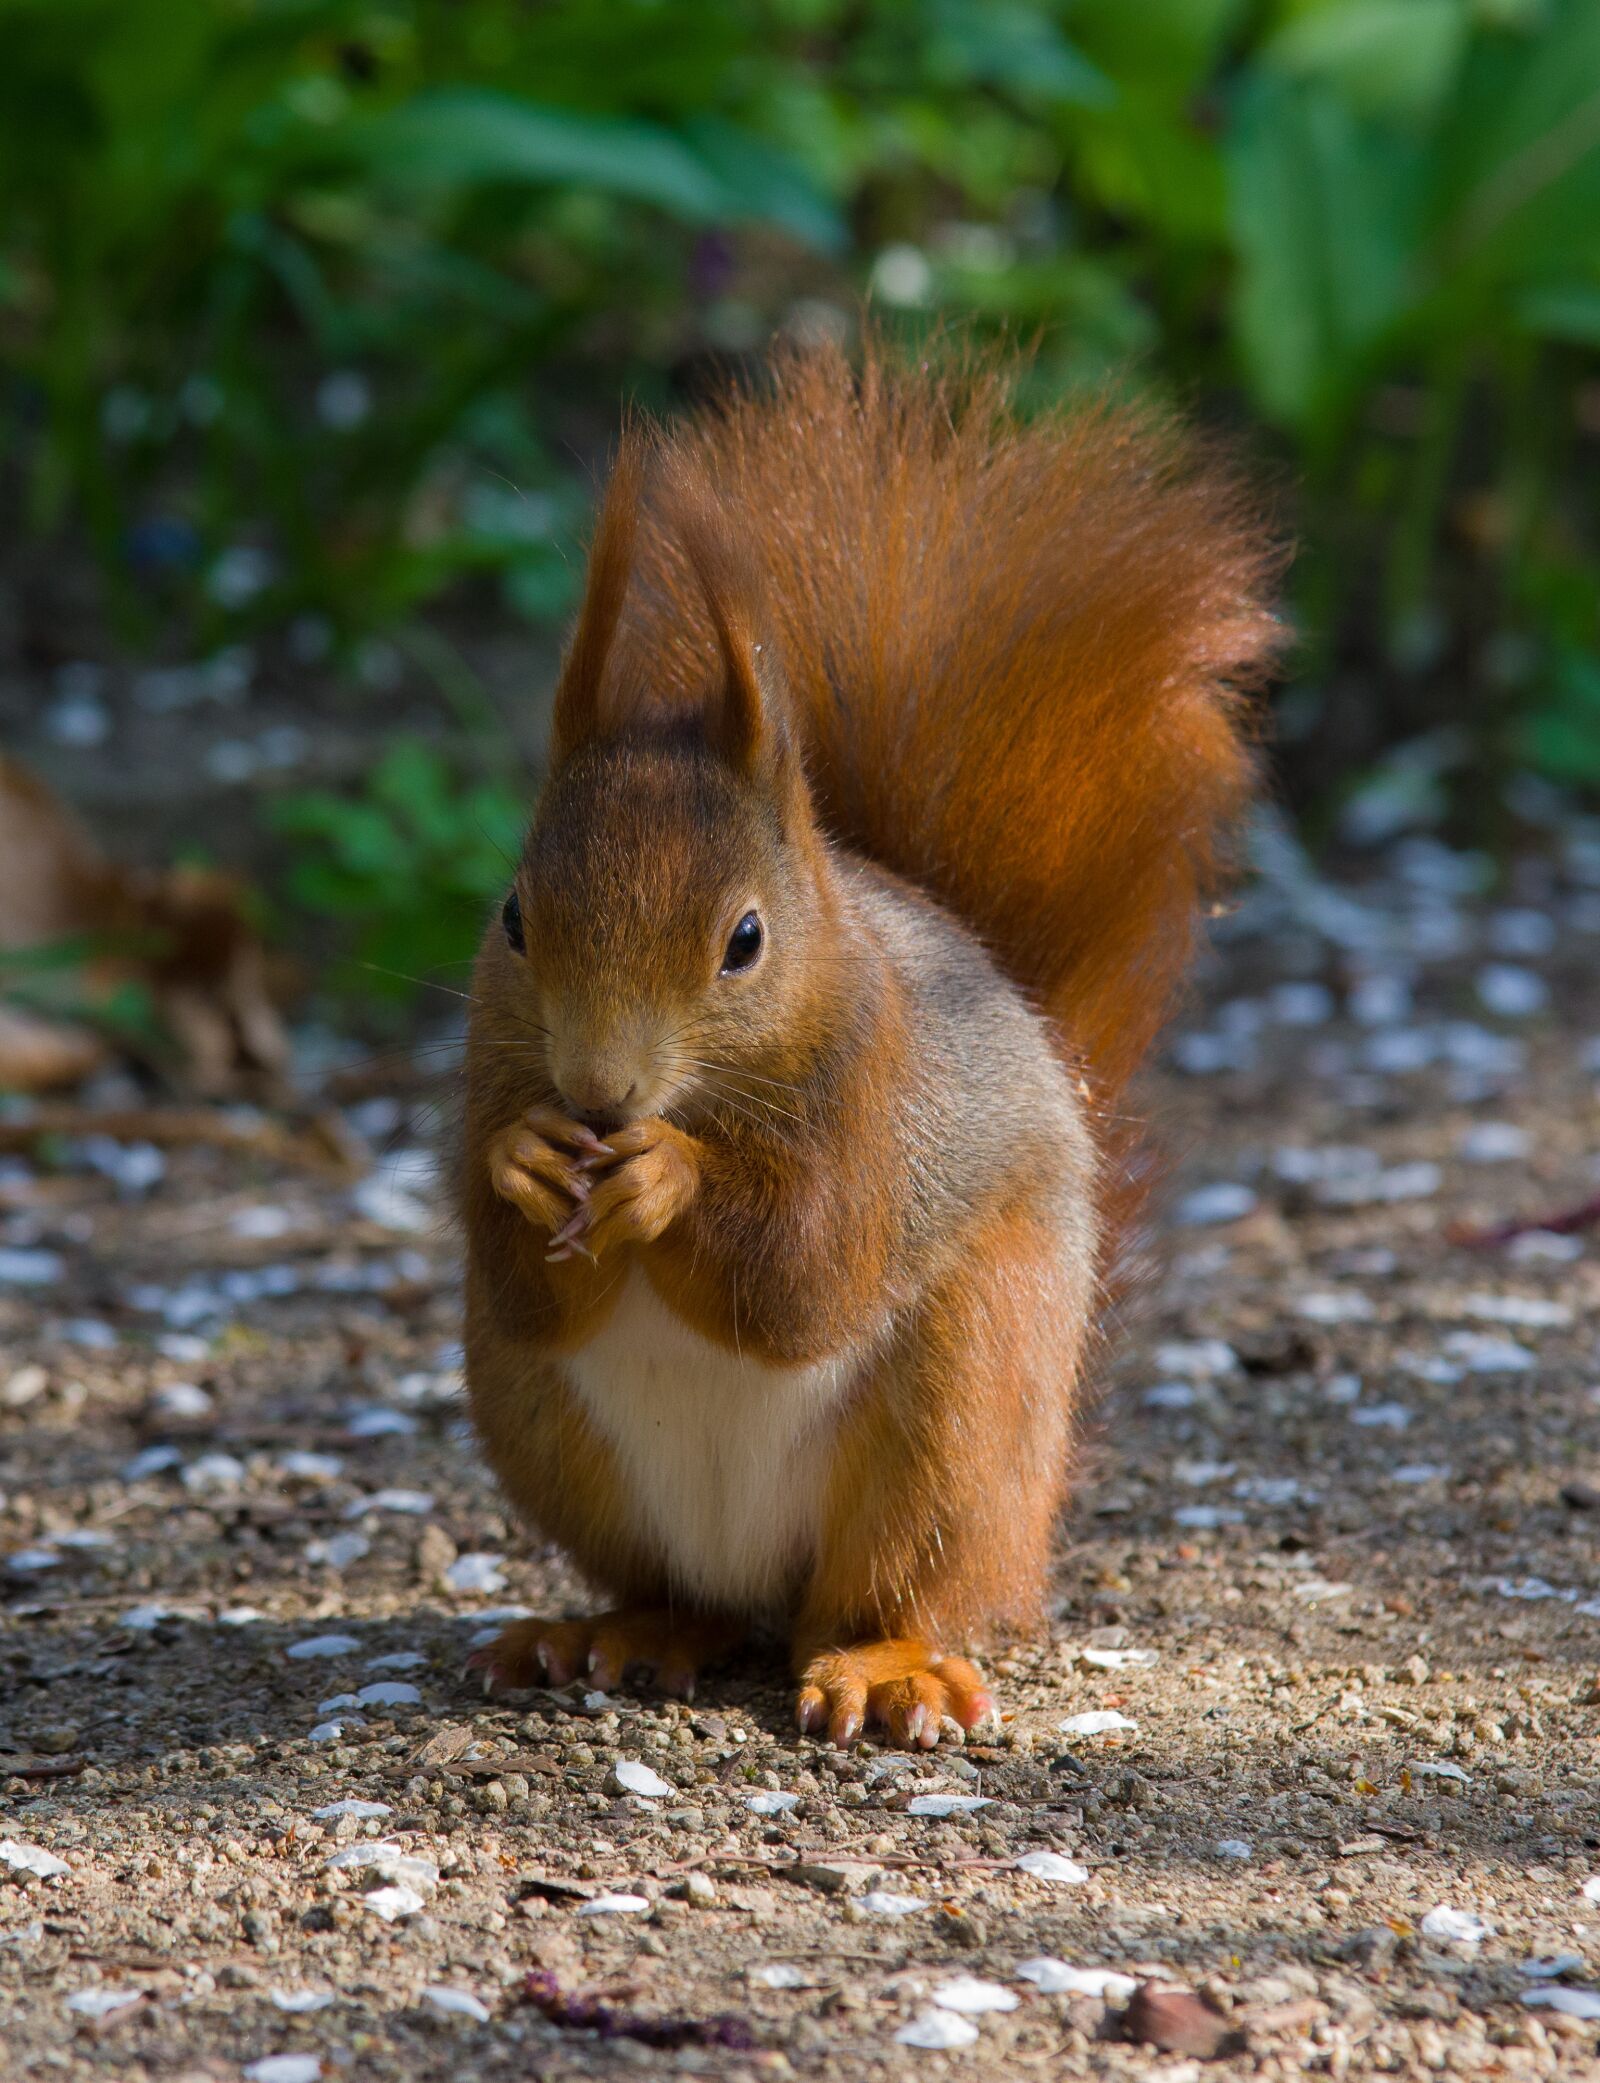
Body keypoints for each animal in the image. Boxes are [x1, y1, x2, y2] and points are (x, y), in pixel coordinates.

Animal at [456, 337, 1283, 1741]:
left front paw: (671, 1178)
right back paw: (612, 1631)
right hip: (545, 1431)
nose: (600, 1093)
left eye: (744, 939)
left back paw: (886, 1668)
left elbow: (808, 1271)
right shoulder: (479, 1071)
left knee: (893, 1589)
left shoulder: (878, 1101)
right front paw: (527, 1159)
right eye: (513, 917)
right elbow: (520, 1273)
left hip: (958, 1410)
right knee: (686, 1595)